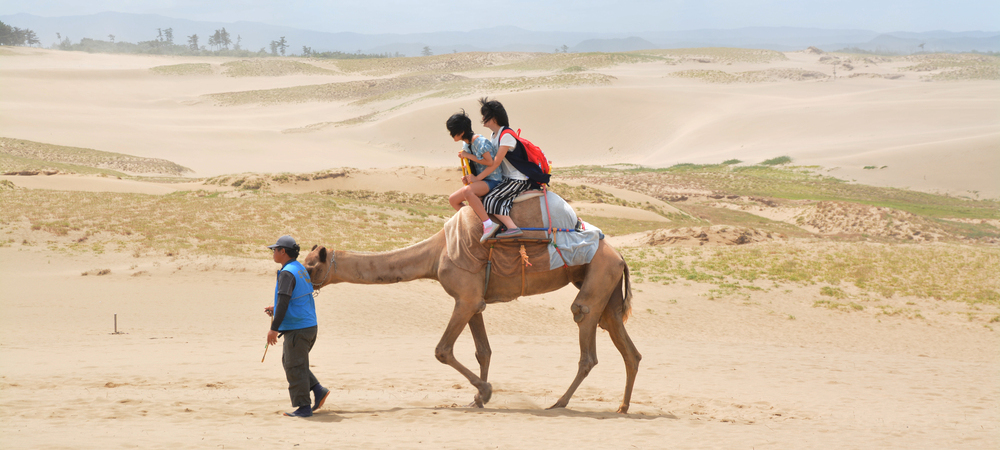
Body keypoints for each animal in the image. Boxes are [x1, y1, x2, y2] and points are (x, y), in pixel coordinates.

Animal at [302, 199, 640, 414]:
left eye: (310, 266)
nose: (299, 277)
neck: (436, 253)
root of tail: (620, 255)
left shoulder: (465, 298)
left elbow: (442, 350)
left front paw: (485, 392)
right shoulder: (474, 301)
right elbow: (483, 351)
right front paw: (477, 399)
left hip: (597, 279)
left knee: (586, 336)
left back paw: (559, 403)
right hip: (607, 289)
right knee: (627, 346)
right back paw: (622, 407)